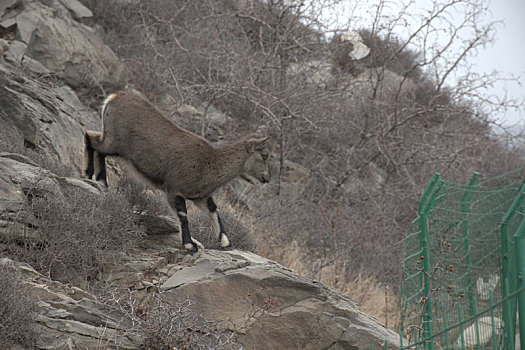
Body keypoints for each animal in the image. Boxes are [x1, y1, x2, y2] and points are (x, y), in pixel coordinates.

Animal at [84, 91, 270, 253]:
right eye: (264, 155)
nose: (266, 178)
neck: (210, 164)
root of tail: (112, 98)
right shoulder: (175, 190)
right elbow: (183, 216)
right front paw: (190, 246)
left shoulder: (201, 197)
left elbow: (214, 211)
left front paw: (226, 243)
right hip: (115, 143)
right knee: (92, 139)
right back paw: (92, 176)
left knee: (95, 142)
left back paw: (99, 180)